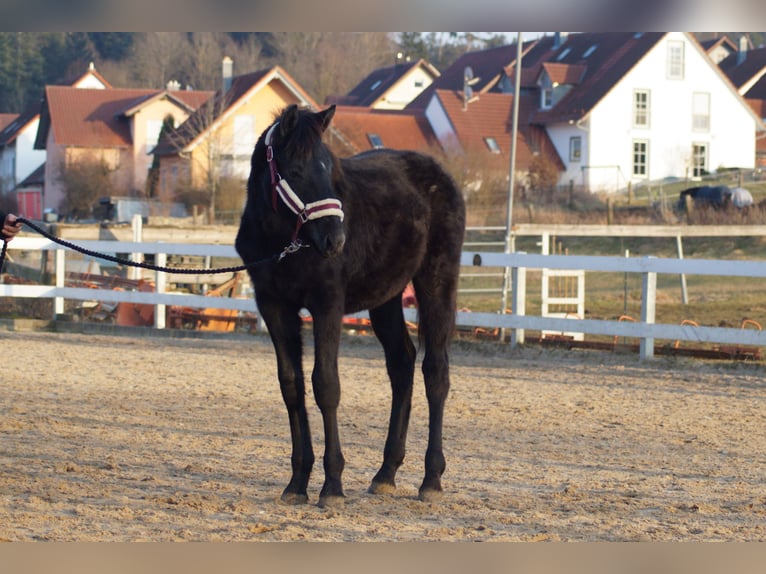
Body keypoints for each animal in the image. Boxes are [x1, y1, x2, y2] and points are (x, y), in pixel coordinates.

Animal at [234, 104, 464, 508]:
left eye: (329, 169)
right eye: (296, 171)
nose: (335, 239)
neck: (281, 241)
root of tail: (440, 174)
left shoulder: (327, 302)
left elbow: (326, 384)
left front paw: (332, 485)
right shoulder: (274, 306)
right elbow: (292, 385)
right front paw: (297, 483)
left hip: (437, 280)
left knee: (435, 372)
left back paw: (431, 479)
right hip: (387, 297)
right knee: (401, 364)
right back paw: (386, 473)